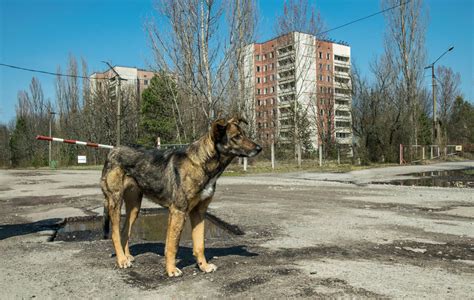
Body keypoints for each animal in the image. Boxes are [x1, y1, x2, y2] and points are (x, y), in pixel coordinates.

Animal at [101, 116, 262, 276]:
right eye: (236, 137)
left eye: (244, 134)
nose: (259, 148)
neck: (202, 163)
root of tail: (112, 152)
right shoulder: (178, 211)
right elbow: (172, 245)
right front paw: (171, 270)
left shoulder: (199, 212)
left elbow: (199, 245)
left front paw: (203, 266)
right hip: (115, 202)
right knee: (115, 233)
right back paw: (122, 260)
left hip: (134, 207)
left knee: (124, 231)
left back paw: (126, 256)